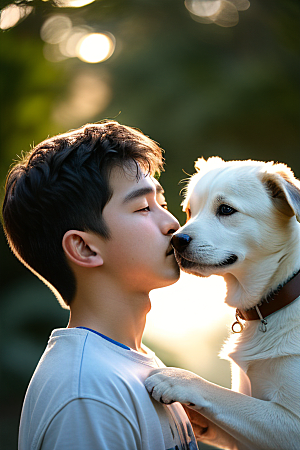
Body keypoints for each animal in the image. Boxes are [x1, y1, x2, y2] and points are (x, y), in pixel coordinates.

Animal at [145, 158, 300, 450]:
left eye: (226, 209)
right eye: (190, 210)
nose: (176, 240)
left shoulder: (291, 422)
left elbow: (223, 395)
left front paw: (177, 378)